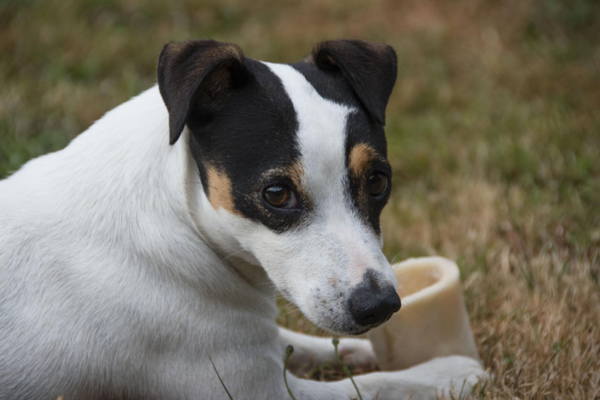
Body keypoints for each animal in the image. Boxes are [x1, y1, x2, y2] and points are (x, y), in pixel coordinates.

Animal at [0, 38, 486, 400]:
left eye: (378, 181)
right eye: (277, 194)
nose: (380, 306)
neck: (184, 218)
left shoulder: (256, 346)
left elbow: (300, 342)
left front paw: (357, 350)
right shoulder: (257, 389)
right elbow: (378, 386)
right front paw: (450, 374)